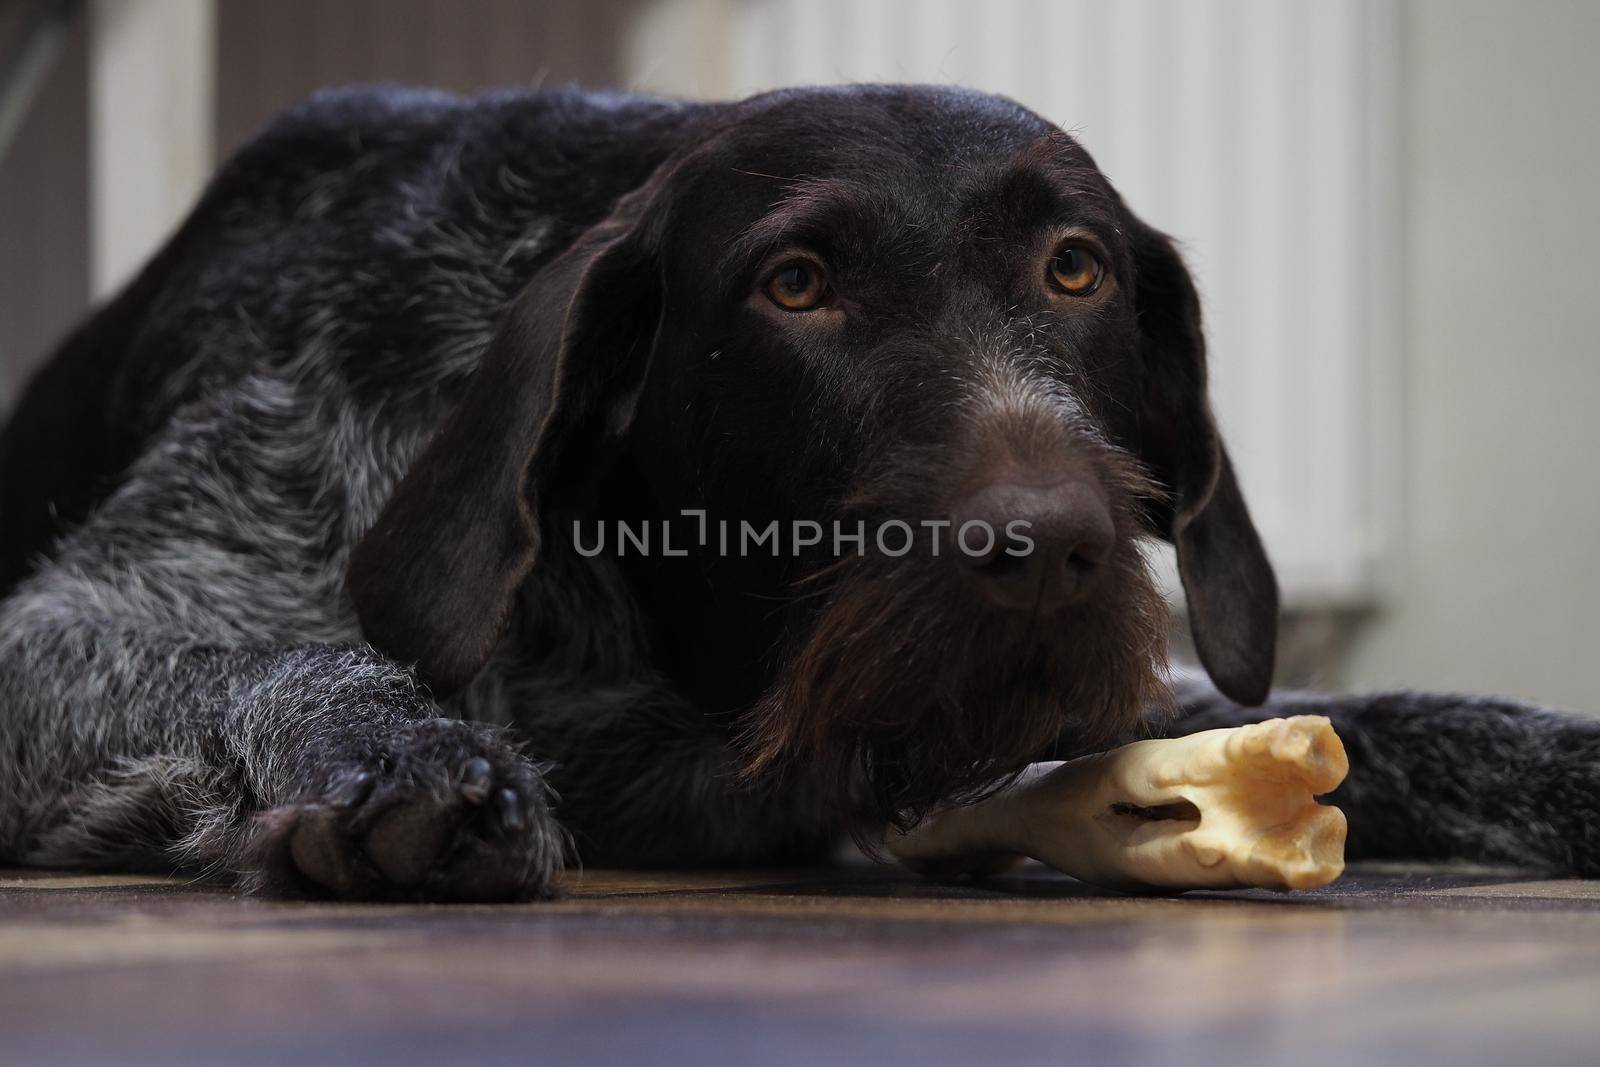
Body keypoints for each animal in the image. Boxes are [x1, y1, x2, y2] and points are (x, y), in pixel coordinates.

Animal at [3, 85, 1600, 902]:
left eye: (1075, 267)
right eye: (796, 285)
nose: (1051, 549)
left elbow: (1377, 720)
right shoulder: (71, 633)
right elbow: (289, 654)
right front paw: (392, 747)